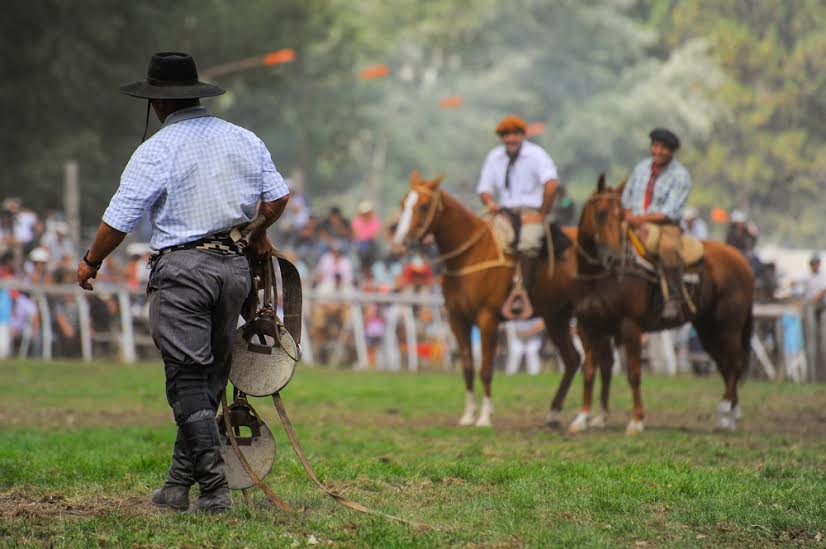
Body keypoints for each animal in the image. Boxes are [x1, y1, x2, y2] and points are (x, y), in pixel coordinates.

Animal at [392, 171, 580, 424]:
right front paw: (468, 416)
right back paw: (554, 413)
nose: (400, 242)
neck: (471, 255)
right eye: (403, 203)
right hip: (556, 317)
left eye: (423, 206)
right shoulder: (457, 319)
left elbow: (486, 369)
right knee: (573, 359)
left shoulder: (487, 319)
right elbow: (468, 367)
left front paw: (484, 418)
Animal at [568, 176, 752, 432]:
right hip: (708, 330)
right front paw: (582, 418)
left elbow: (634, 372)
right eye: (601, 214)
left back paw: (725, 413)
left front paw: (636, 420)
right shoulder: (588, 326)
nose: (614, 258)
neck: (597, 278)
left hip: (728, 327)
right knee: (725, 365)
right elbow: (589, 370)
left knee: (735, 364)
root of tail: (741, 261)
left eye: (621, 215)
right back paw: (729, 417)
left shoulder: (630, 326)